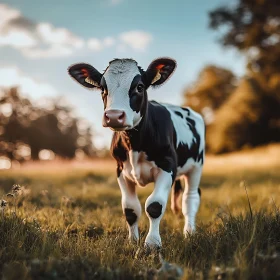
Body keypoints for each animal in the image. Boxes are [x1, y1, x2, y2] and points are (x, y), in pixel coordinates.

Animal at [66, 58, 205, 248]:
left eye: (139, 87)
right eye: (102, 88)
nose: (114, 116)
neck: (135, 144)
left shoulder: (167, 166)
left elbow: (154, 205)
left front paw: (152, 243)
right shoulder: (121, 170)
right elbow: (130, 209)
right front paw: (133, 241)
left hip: (196, 166)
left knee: (190, 198)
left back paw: (189, 232)